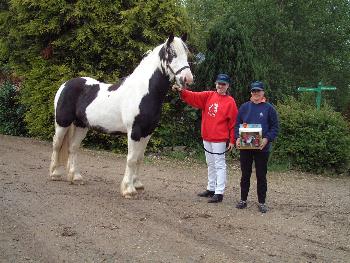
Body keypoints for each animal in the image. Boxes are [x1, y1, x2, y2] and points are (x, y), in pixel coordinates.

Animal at [48, 34, 194, 198]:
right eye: (172, 54)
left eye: (186, 53)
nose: (187, 78)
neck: (143, 92)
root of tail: (65, 84)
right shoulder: (134, 132)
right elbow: (131, 159)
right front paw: (128, 189)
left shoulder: (147, 132)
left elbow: (139, 158)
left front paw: (137, 184)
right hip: (62, 122)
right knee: (57, 144)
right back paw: (55, 174)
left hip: (81, 125)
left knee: (73, 147)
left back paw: (76, 177)